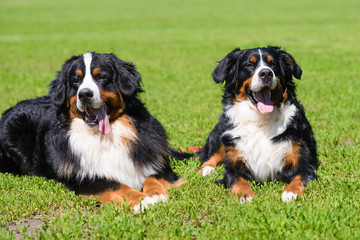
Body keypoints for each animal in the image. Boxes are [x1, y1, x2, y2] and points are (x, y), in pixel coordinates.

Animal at [0, 51, 188, 212]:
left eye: (101, 77)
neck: (104, 137)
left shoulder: (157, 163)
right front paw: (142, 200)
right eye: (76, 80)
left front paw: (155, 194)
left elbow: (152, 176)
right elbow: (115, 184)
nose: (84, 94)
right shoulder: (83, 179)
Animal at [197, 46, 318, 202]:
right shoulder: (233, 167)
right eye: (249, 65)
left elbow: (300, 178)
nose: (266, 73)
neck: (260, 121)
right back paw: (205, 169)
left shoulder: (304, 163)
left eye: (273, 64)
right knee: (211, 156)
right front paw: (245, 195)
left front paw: (291, 193)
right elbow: (238, 180)